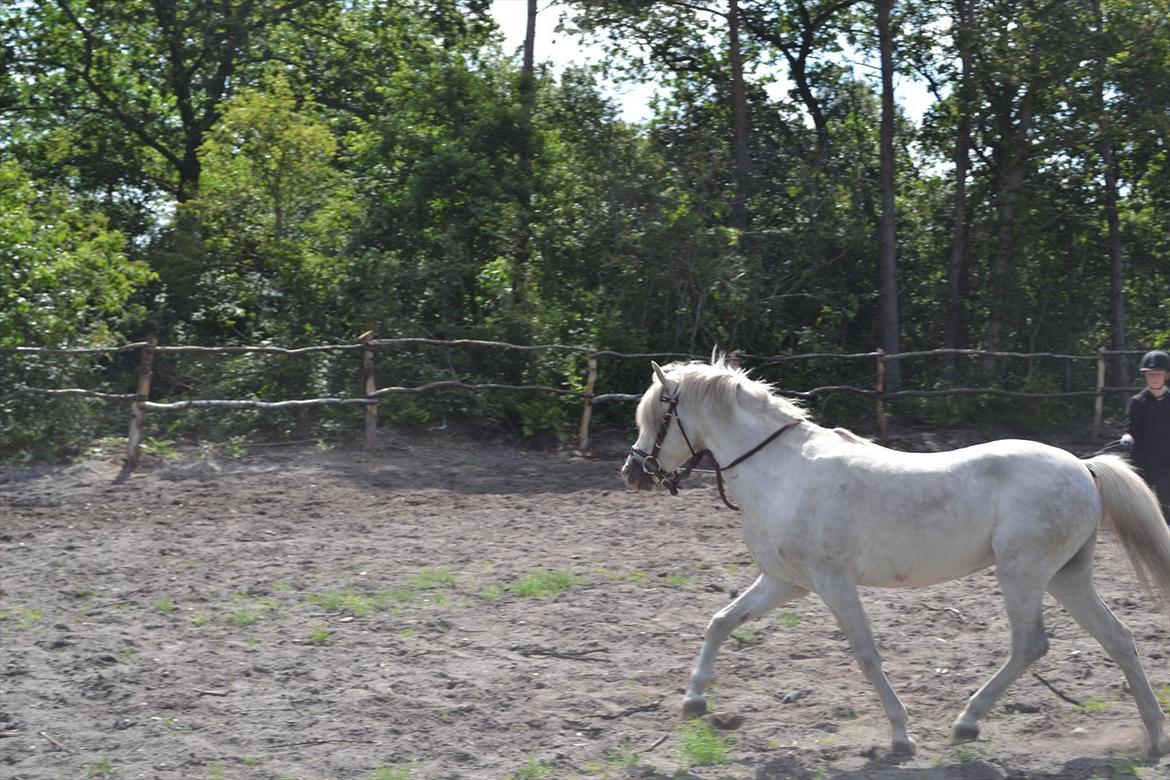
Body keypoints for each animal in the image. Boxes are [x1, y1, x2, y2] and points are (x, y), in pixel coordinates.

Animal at [620, 357, 1170, 759]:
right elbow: (721, 621)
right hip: (1065, 576)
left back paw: (966, 723)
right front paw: (694, 700)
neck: (782, 472)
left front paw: (901, 737)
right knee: (1118, 638)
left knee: (1031, 644)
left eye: (659, 417)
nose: (633, 472)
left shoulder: (833, 583)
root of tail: (1083, 466)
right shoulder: (784, 581)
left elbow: (866, 654)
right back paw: (1153, 738)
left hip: (1023, 572)